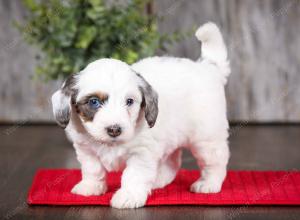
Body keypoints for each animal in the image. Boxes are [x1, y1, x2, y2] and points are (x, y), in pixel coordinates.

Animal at [52, 22, 230, 208]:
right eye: (94, 102)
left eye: (129, 101)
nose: (114, 129)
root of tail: (208, 67)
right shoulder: (86, 149)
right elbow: (92, 169)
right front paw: (90, 186)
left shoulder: (141, 153)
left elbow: (133, 175)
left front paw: (128, 196)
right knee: (173, 161)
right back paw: (159, 179)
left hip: (207, 138)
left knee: (215, 161)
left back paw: (209, 183)